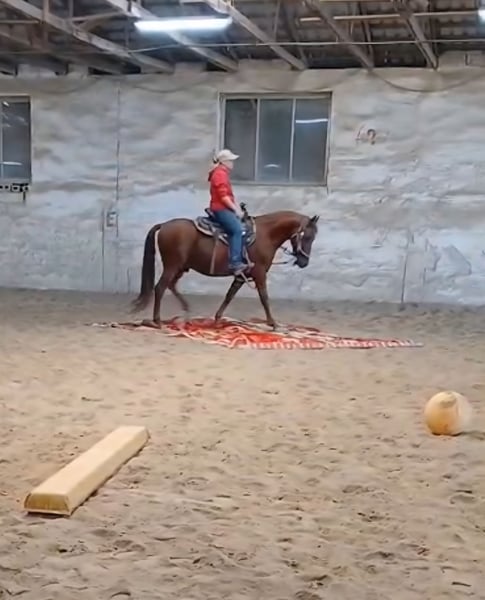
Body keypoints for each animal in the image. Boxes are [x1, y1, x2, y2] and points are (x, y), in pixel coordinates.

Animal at [131, 204, 319, 329]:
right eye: (307, 236)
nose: (304, 262)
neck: (265, 234)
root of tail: (164, 225)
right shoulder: (259, 273)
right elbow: (264, 297)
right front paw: (273, 323)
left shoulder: (242, 275)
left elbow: (230, 295)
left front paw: (217, 319)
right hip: (172, 266)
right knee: (160, 287)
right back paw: (157, 320)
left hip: (180, 267)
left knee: (170, 285)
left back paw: (186, 311)